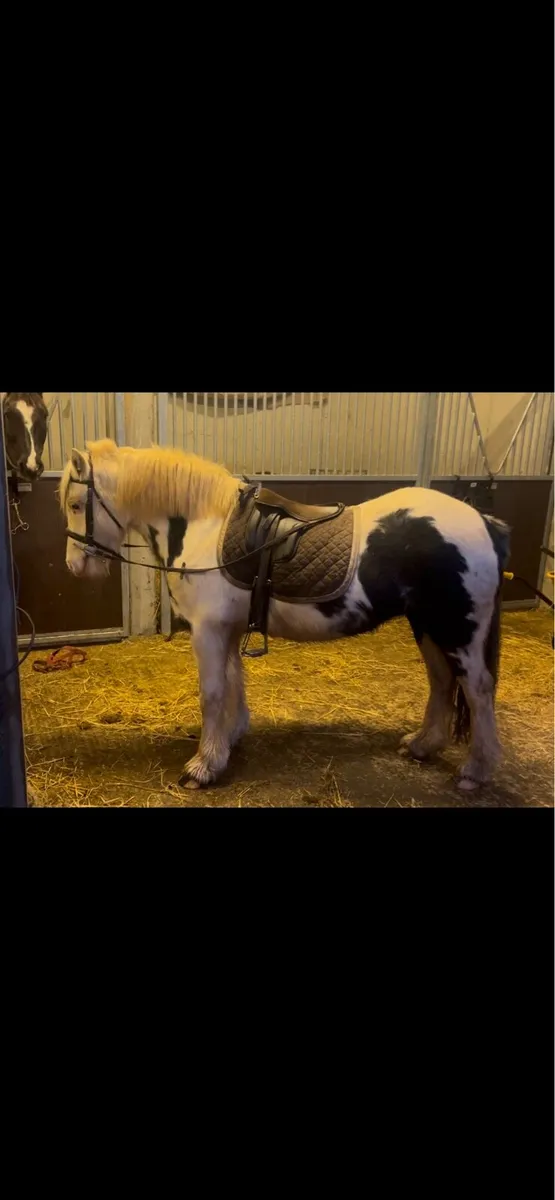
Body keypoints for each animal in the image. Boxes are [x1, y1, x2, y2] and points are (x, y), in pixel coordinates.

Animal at [60, 438, 510, 794]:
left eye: (76, 504)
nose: (74, 566)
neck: (204, 525)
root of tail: (482, 521)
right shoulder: (227, 629)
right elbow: (234, 681)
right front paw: (230, 740)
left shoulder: (207, 631)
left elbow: (212, 693)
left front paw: (203, 767)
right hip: (428, 626)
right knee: (441, 680)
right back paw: (422, 746)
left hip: (460, 632)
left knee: (478, 690)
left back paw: (475, 771)